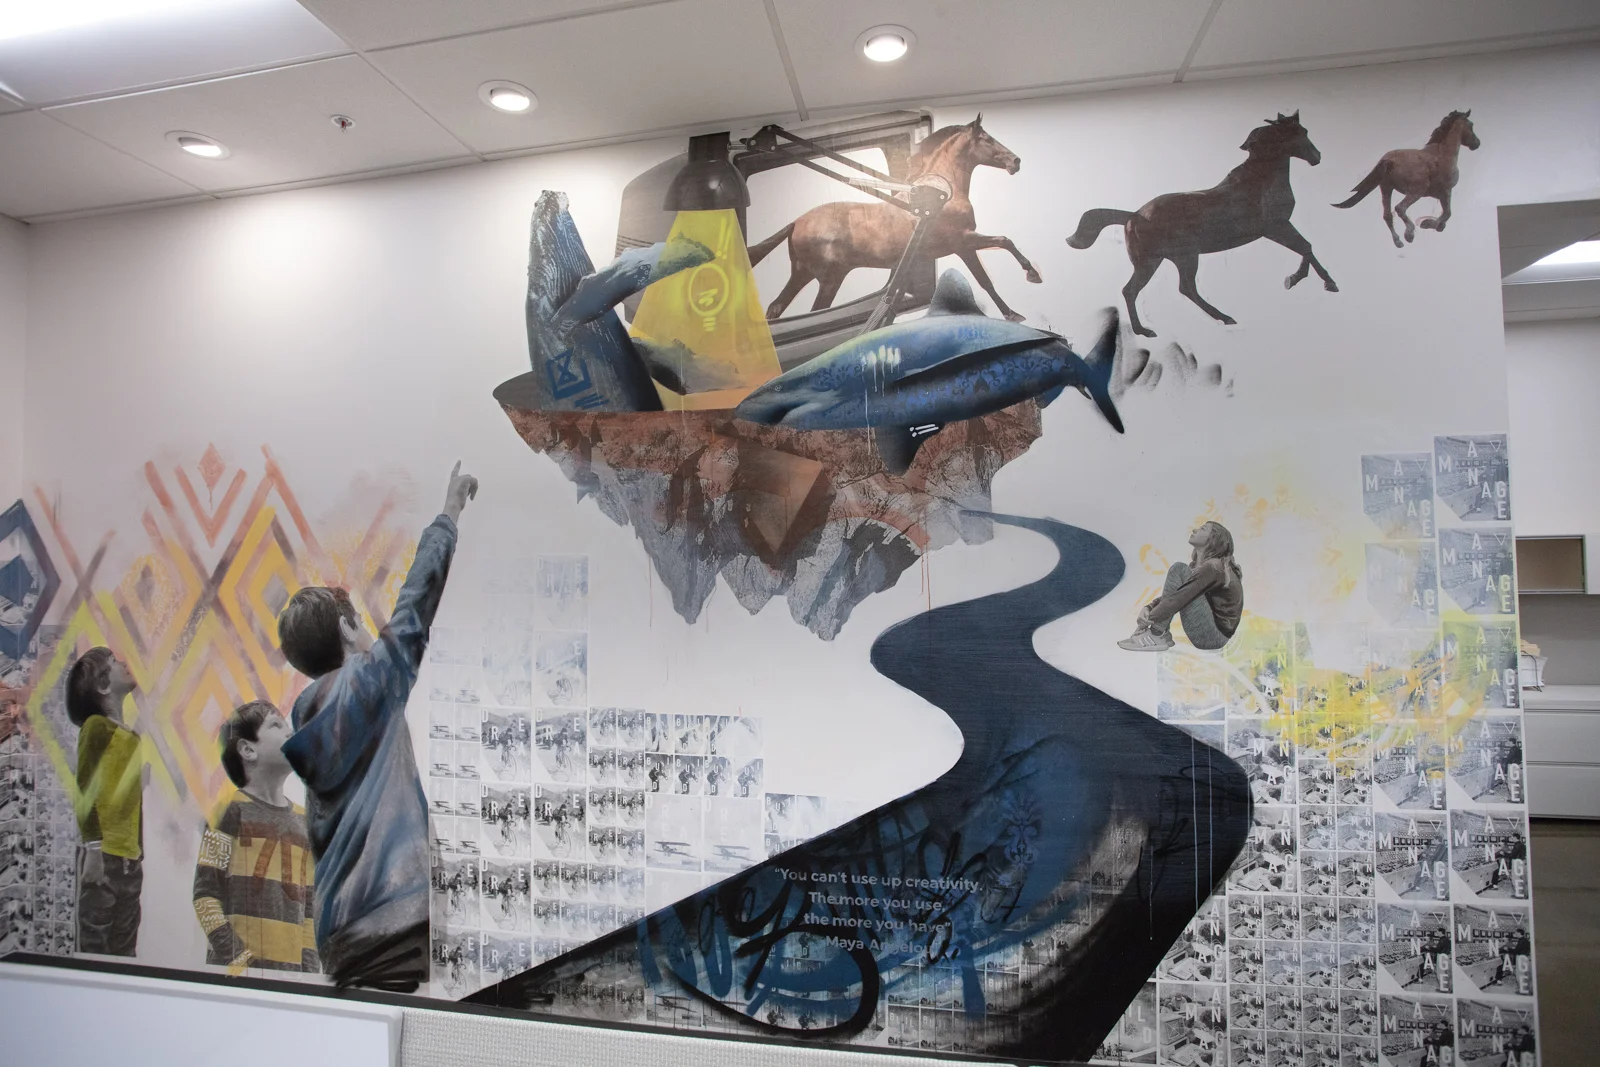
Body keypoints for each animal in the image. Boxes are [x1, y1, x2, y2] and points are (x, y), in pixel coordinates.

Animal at [747, 115, 1041, 322]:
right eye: (986, 138)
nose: (1015, 161)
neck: (942, 193)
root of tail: (797, 222)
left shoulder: (963, 245)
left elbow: (990, 267)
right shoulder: (962, 242)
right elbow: (999, 251)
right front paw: (1028, 283)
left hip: (804, 273)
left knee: (776, 308)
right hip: (826, 278)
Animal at [1066, 111, 1337, 338]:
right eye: (1301, 132)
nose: (1318, 157)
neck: (1261, 180)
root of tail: (1135, 215)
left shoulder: (1278, 228)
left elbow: (1305, 247)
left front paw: (1306, 279)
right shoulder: (1275, 227)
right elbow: (1306, 246)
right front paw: (1315, 281)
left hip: (1165, 259)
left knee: (1165, 289)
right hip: (1172, 258)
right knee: (1155, 289)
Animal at [1333, 110, 1480, 248]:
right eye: (1471, 125)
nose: (1477, 143)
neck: (1443, 153)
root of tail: (1389, 160)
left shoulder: (1437, 194)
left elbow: (1445, 214)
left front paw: (1434, 225)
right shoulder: (1446, 191)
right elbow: (1447, 213)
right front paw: (1428, 224)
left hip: (1386, 188)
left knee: (1387, 215)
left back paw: (1398, 241)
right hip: (1416, 191)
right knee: (1400, 208)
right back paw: (1409, 233)